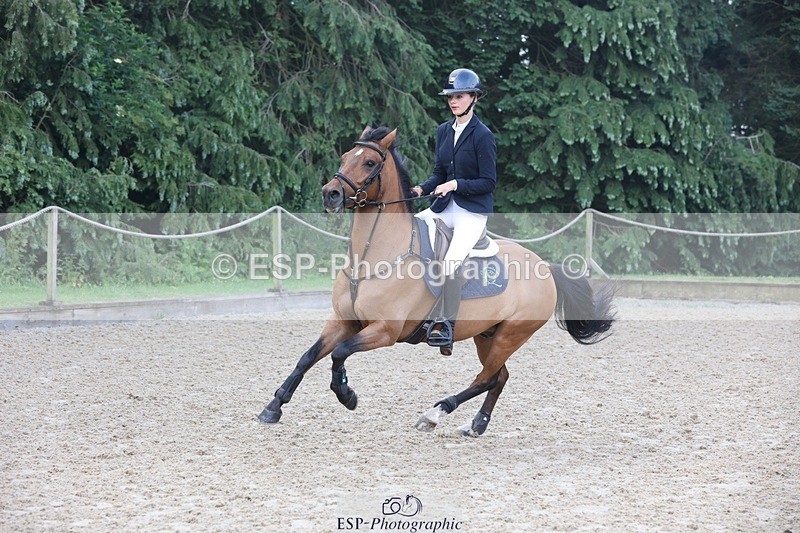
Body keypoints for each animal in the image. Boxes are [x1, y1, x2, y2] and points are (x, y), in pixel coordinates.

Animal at [258, 126, 615, 436]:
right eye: (345, 156)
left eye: (370, 162)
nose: (330, 194)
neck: (372, 257)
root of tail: (545, 268)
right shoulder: (342, 321)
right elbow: (308, 357)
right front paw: (273, 407)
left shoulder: (385, 331)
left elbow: (339, 354)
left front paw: (348, 396)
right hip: (487, 334)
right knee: (499, 376)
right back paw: (476, 425)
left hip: (511, 335)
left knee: (486, 377)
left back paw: (434, 413)